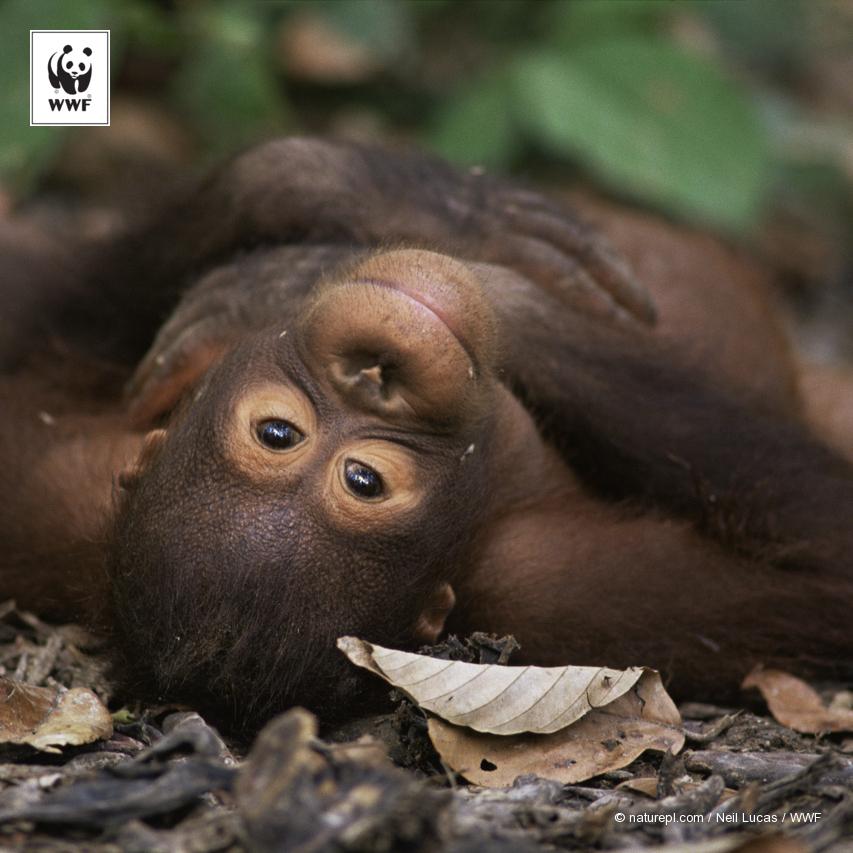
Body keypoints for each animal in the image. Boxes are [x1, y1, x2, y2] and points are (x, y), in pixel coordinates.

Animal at [1, 138, 851, 732]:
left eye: (277, 431)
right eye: (365, 480)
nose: (377, 371)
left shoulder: (58, 475)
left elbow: (43, 304)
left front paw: (353, 201)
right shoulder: (551, 588)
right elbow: (826, 555)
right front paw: (494, 294)